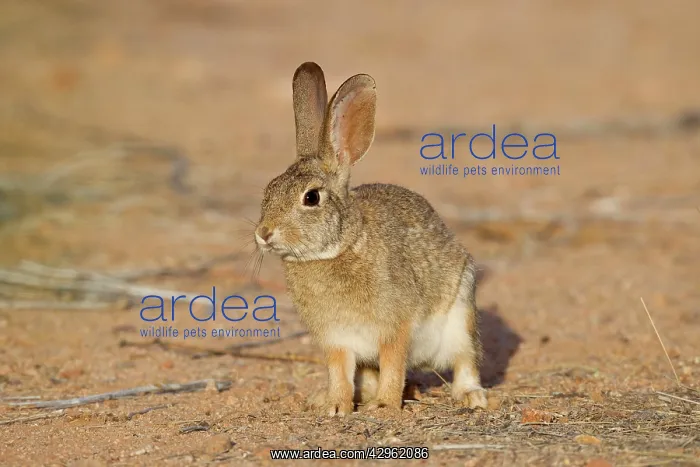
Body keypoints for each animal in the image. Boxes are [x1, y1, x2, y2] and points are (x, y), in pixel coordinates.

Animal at [254, 62, 488, 416]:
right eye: (269, 190)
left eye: (311, 198)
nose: (263, 233)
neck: (340, 246)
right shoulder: (337, 339)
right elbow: (339, 371)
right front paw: (336, 406)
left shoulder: (394, 327)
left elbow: (393, 364)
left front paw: (385, 405)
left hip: (460, 317)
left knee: (465, 360)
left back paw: (471, 396)